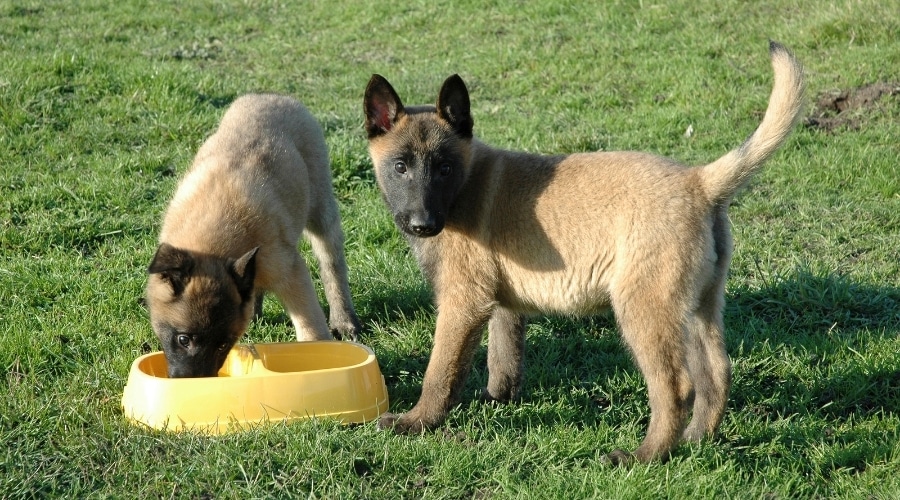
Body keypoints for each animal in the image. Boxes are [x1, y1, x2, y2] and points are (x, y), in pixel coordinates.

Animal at [146, 94, 360, 376]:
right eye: (184, 339)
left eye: (223, 344)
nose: (196, 382)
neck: (213, 247)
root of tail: (272, 95)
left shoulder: (292, 274)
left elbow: (311, 327)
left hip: (321, 210)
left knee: (332, 264)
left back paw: (344, 319)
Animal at [362, 44, 804, 464]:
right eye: (400, 167)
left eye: (444, 168)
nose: (422, 223)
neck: (464, 188)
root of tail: (699, 182)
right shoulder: (502, 302)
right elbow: (504, 358)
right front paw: (496, 400)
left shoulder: (462, 302)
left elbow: (440, 372)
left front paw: (417, 421)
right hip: (698, 305)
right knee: (716, 374)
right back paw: (694, 440)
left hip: (644, 307)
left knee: (676, 387)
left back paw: (644, 457)